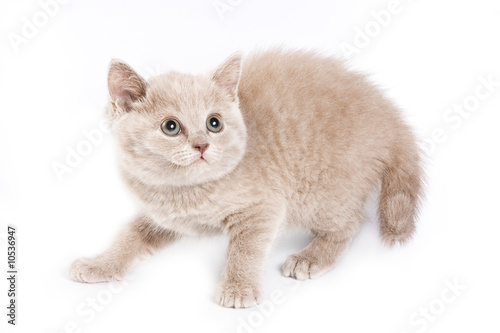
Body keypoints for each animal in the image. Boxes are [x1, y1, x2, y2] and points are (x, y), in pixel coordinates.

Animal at [68, 48, 424, 306]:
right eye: (170, 127)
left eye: (214, 123)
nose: (202, 144)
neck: (183, 192)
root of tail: (391, 120)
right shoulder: (162, 216)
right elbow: (129, 236)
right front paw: (100, 265)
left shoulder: (263, 207)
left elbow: (246, 250)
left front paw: (239, 289)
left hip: (322, 191)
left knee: (351, 223)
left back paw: (311, 257)